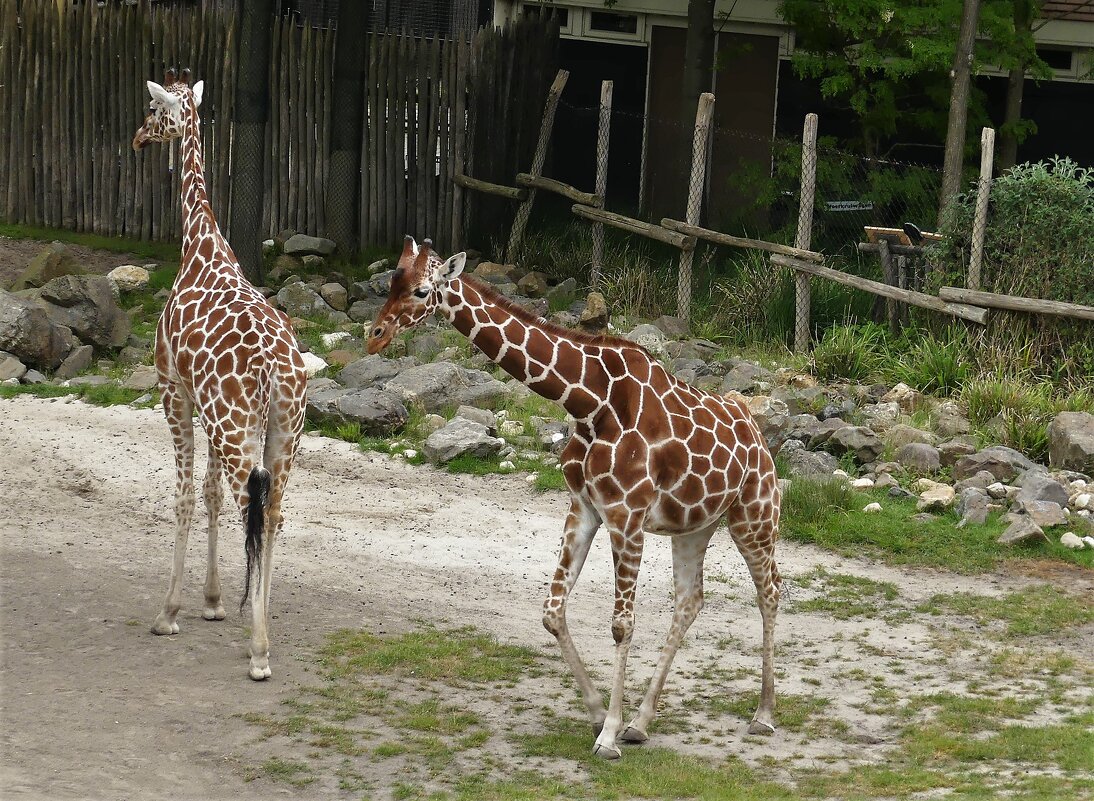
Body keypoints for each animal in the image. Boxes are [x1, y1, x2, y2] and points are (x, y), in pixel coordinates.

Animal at [131, 70, 306, 682]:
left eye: (154, 112)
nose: (137, 138)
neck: (199, 244)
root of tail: (276, 367)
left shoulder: (174, 391)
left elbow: (184, 496)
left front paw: (169, 613)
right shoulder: (205, 409)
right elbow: (206, 496)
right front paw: (211, 602)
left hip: (235, 428)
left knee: (249, 504)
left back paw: (258, 651)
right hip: (283, 433)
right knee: (272, 513)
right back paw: (263, 634)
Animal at [371, 236, 783, 757]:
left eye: (423, 291)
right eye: (392, 281)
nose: (375, 336)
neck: (590, 402)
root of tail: (759, 436)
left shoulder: (627, 515)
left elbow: (622, 625)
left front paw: (607, 736)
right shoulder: (585, 507)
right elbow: (552, 612)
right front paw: (598, 715)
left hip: (754, 517)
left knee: (770, 591)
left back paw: (764, 714)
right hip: (695, 525)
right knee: (690, 601)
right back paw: (642, 723)